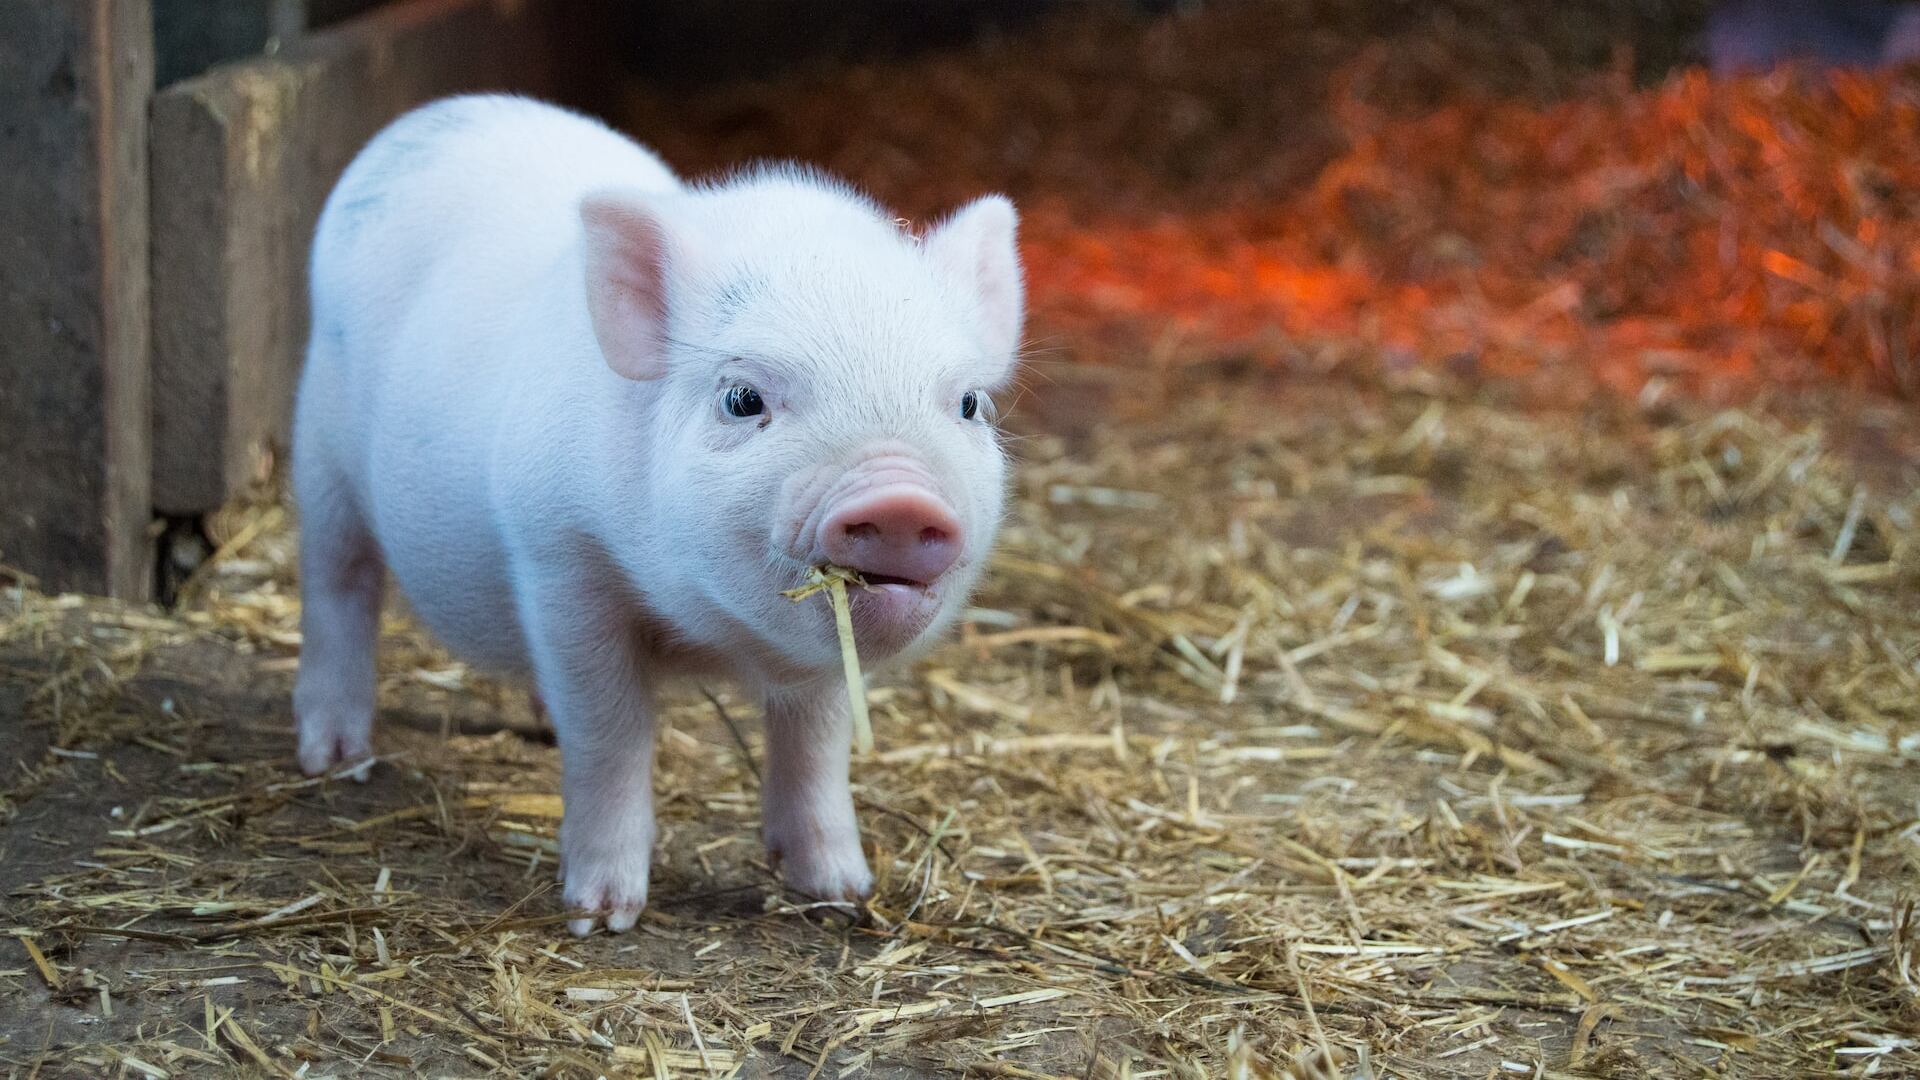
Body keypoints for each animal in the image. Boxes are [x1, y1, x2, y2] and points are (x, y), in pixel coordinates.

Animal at [291, 94, 1023, 934]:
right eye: (742, 398)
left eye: (968, 404)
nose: (899, 498)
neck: (708, 635)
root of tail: (435, 115)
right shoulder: (559, 559)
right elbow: (609, 733)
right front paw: (601, 916)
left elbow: (816, 741)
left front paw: (842, 892)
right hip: (319, 450)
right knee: (338, 582)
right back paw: (333, 758)